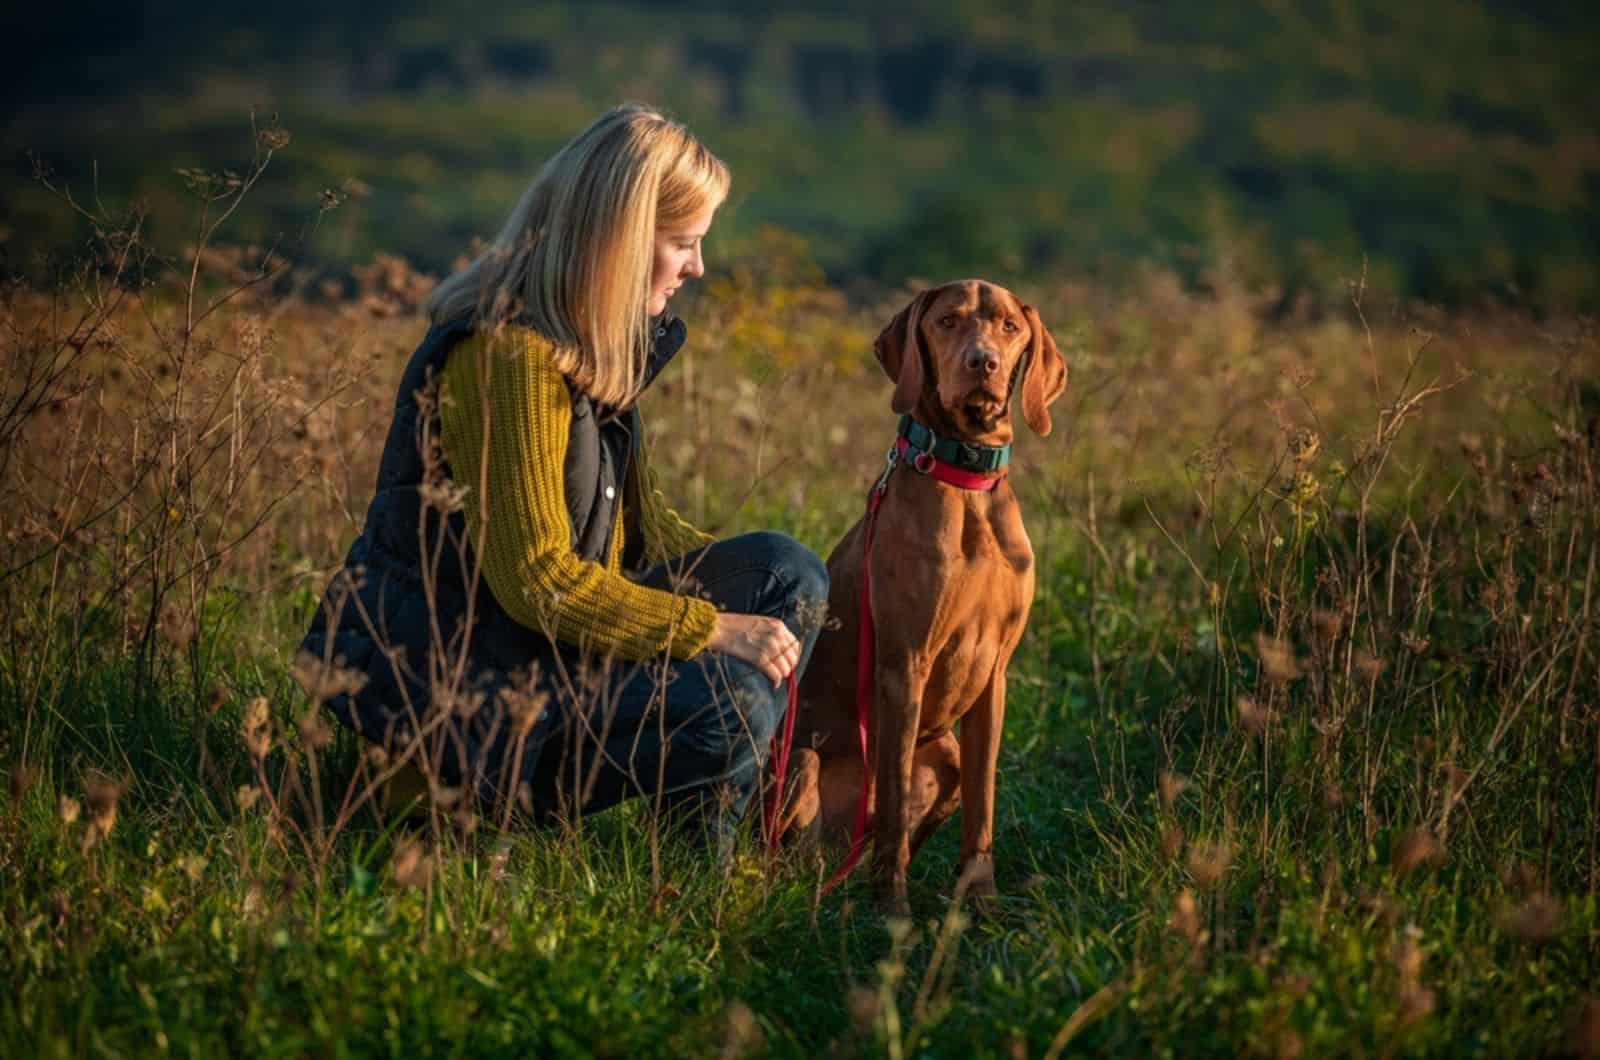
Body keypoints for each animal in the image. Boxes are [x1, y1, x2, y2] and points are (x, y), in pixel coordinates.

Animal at [784, 280, 1062, 915]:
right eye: (948, 321)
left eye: (1010, 328)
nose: (983, 362)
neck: (968, 482)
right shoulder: (903, 665)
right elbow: (891, 801)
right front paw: (893, 909)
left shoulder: (995, 674)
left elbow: (983, 802)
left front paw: (978, 895)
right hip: (802, 762)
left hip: (945, 754)